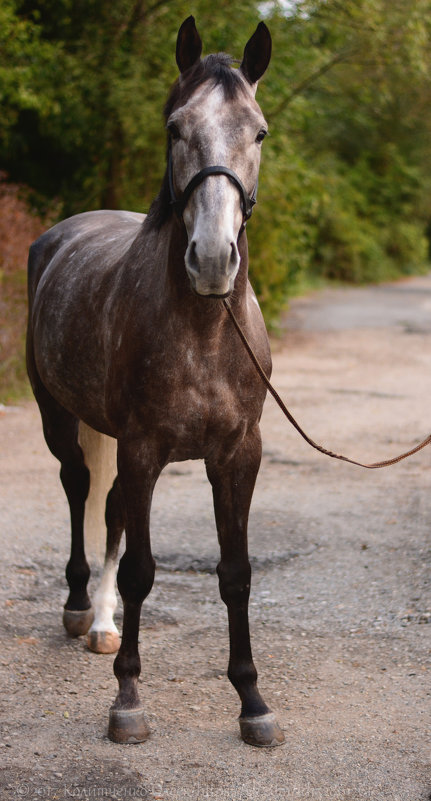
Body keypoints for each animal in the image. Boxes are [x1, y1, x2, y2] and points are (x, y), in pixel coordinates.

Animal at [25, 15, 286, 748]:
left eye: (259, 132)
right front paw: (128, 701)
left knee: (111, 508)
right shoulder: (143, 449)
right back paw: (81, 608)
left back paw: (105, 625)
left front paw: (252, 702)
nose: (213, 259)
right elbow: (144, 570)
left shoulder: (239, 455)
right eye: (175, 127)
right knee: (80, 488)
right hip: (59, 416)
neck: (202, 329)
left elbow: (236, 573)